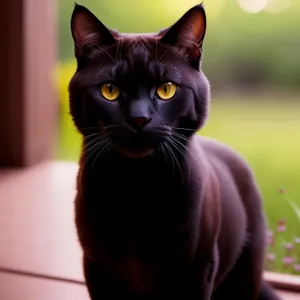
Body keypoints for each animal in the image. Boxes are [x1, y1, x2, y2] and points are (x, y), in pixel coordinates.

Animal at [69, 2, 282, 300]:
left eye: (166, 89)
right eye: (109, 90)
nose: (138, 119)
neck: (135, 190)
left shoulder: (197, 270)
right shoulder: (96, 266)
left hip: (246, 272)